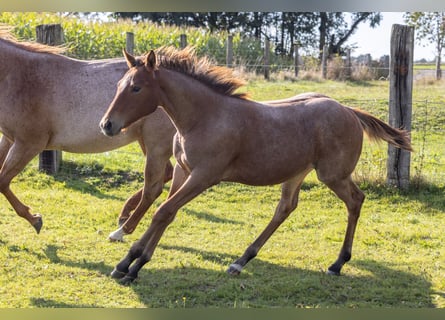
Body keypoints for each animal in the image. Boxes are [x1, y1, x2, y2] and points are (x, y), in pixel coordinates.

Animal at [0, 28, 177, 240]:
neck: (17, 76)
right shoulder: (9, 139)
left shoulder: (29, 144)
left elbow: (2, 181)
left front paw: (35, 219)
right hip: (147, 142)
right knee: (166, 174)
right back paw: (123, 215)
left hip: (156, 144)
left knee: (154, 186)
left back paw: (121, 230)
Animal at [99, 46, 412, 284]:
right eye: (117, 86)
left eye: (136, 88)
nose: (106, 125)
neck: (204, 117)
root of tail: (349, 111)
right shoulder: (182, 171)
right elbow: (167, 212)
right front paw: (133, 264)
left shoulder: (204, 176)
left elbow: (163, 211)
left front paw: (129, 264)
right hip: (297, 172)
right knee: (285, 208)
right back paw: (240, 261)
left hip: (332, 174)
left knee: (355, 200)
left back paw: (337, 263)